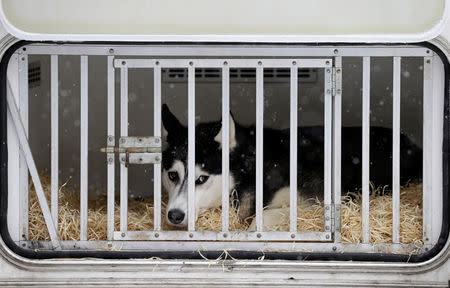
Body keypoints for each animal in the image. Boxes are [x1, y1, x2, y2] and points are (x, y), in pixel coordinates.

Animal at [161, 103, 422, 227]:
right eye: (172, 176)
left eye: (201, 179)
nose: (174, 215)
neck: (253, 169)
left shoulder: (317, 200)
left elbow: (262, 218)